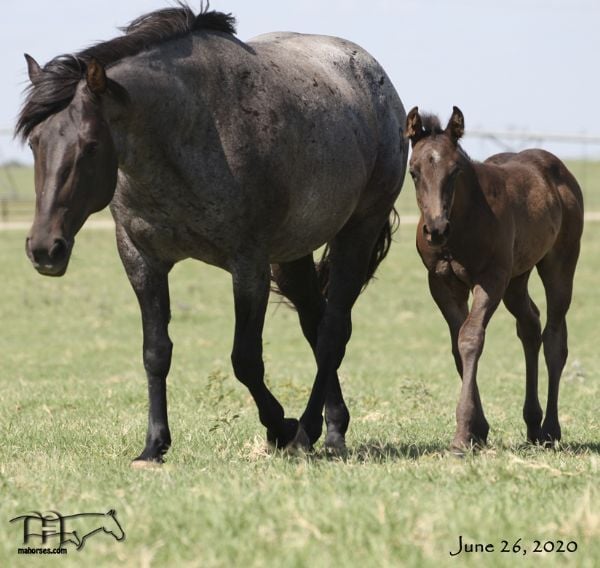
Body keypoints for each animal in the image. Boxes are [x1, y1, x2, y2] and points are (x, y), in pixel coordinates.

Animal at [406, 105, 584, 452]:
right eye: (414, 172)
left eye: (455, 171)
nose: (436, 229)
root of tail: (558, 169)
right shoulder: (441, 283)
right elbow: (456, 345)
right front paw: (478, 430)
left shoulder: (491, 279)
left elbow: (470, 338)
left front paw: (463, 435)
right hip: (517, 277)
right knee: (530, 326)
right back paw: (532, 423)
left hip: (559, 263)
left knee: (554, 337)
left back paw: (550, 429)